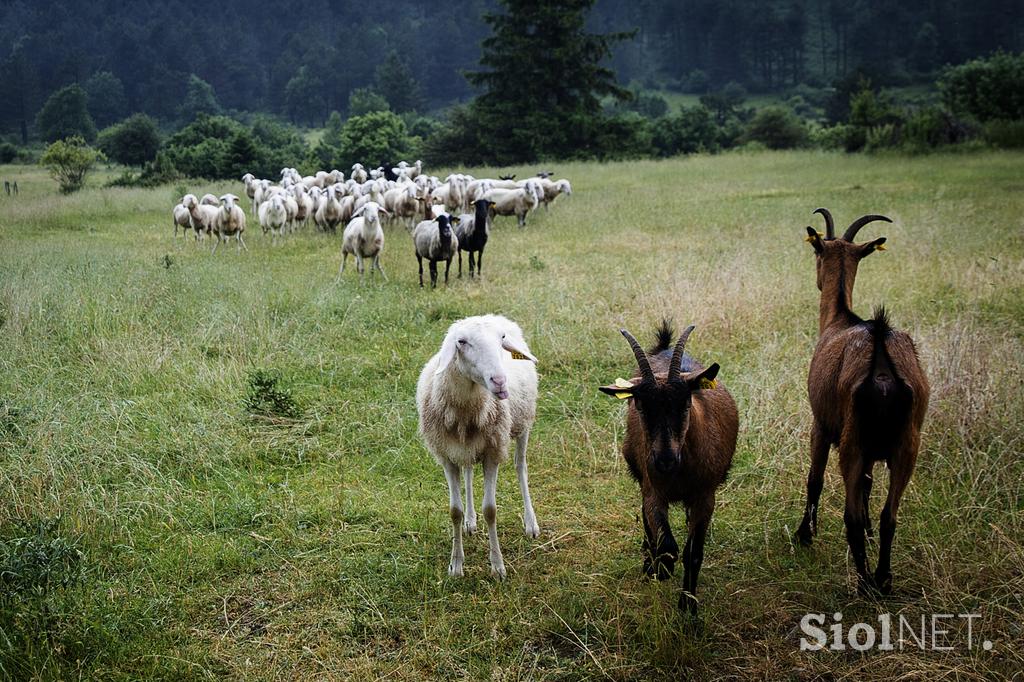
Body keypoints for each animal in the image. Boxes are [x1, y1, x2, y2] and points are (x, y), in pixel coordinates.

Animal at [415, 311, 544, 577]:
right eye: (461, 342)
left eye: (501, 339)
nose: (500, 381)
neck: (466, 413)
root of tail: (491, 314)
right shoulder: (446, 456)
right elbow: (454, 511)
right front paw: (456, 565)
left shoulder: (492, 453)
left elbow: (491, 510)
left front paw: (497, 566)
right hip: (466, 448)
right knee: (468, 471)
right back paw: (470, 521)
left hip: (523, 425)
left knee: (521, 467)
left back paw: (530, 523)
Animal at [598, 319, 741, 610]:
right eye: (640, 405)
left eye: (685, 403)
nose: (664, 460)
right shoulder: (654, 491)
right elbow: (667, 546)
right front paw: (660, 569)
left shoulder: (704, 497)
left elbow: (692, 553)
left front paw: (688, 605)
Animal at [794, 208, 933, 593]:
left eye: (816, 252)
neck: (840, 319)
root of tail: (881, 360)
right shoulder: (873, 452)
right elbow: (870, 486)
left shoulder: (821, 424)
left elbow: (814, 478)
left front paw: (804, 535)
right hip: (906, 444)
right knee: (890, 514)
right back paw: (883, 577)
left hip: (852, 442)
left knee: (850, 515)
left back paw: (865, 583)